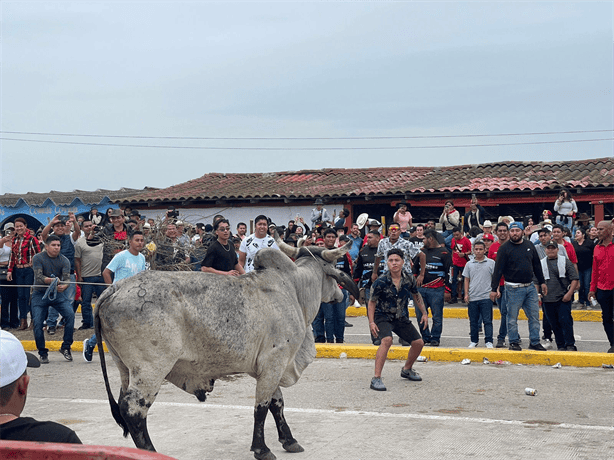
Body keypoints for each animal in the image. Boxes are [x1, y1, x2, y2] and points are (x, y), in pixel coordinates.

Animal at [96, 235, 360, 458]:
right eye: (334, 271)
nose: (340, 296)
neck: (294, 289)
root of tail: (115, 288)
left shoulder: (271, 366)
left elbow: (277, 404)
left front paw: (289, 440)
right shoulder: (275, 362)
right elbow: (262, 407)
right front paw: (262, 449)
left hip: (124, 368)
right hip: (151, 369)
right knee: (134, 410)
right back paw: (151, 452)